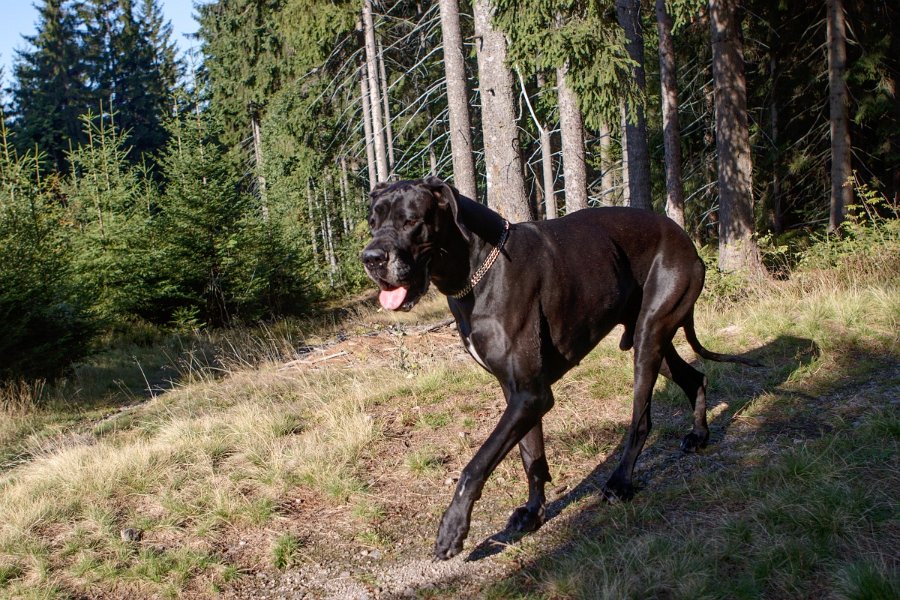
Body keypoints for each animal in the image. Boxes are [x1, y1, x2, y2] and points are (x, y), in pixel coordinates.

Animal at [362, 176, 756, 560]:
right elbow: (531, 455)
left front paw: (452, 528)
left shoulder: (532, 393)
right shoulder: (519, 393)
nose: (371, 258)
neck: (478, 269)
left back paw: (620, 482)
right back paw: (699, 435)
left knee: (641, 419)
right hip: (650, 337)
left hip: (650, 336)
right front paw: (533, 512)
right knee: (694, 377)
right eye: (372, 222)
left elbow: (476, 464)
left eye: (411, 221)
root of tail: (683, 236)